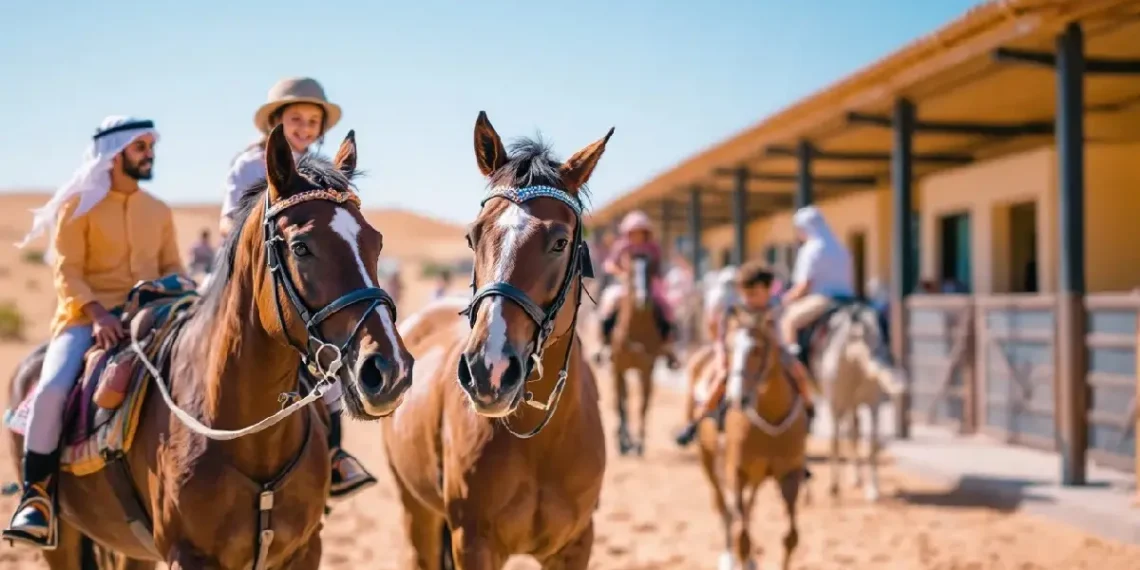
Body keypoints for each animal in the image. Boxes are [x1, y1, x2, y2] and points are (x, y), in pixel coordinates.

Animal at [4, 126, 413, 569]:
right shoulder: (190, 555)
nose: (389, 371)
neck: (249, 439)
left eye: (375, 242)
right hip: (63, 541)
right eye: (301, 247)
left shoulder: (305, 548)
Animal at [382, 111, 609, 569]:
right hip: (417, 514)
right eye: (473, 236)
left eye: (560, 242)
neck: (540, 443)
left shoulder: (576, 545)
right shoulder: (473, 543)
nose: (490, 371)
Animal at [607, 252, 666, 456]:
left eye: (650, 272)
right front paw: (624, 443)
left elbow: (643, 405)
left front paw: (639, 444)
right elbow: (621, 404)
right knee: (620, 400)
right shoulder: (618, 369)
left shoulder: (646, 370)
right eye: (632, 273)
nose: (643, 299)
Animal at [693, 308, 807, 570]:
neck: (770, 413)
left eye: (756, 349)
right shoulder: (737, 471)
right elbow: (742, 538)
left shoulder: (789, 473)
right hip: (708, 458)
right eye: (730, 348)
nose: (737, 398)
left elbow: (791, 537)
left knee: (746, 508)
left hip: (756, 475)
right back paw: (728, 557)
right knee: (725, 509)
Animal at [799, 302, 906, 502]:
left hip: (853, 404)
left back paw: (856, 478)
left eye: (884, 338)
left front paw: (873, 490)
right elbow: (834, 441)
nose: (897, 383)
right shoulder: (835, 405)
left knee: (853, 431)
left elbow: (871, 444)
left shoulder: (873, 405)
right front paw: (834, 487)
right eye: (860, 338)